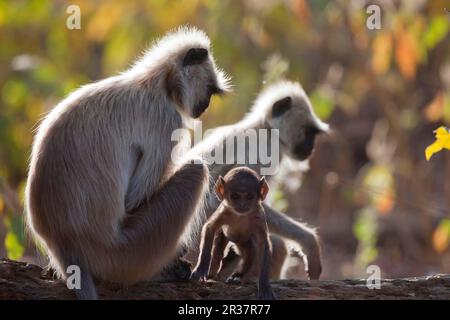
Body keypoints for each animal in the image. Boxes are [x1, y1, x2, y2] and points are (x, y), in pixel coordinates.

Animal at [24, 27, 230, 300]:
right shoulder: (167, 120)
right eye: (209, 90)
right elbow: (132, 201)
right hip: (126, 252)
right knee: (196, 171)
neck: (156, 83)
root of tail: (65, 244)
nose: (204, 106)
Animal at [185, 80, 328, 280]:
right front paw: (309, 241)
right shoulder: (268, 150)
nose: (311, 147)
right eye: (309, 132)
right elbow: (218, 199)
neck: (265, 128)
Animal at [190, 166, 274, 298]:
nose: (242, 205)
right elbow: (210, 228)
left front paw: (265, 285)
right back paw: (213, 271)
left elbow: (263, 244)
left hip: (244, 242)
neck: (240, 216)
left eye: (249, 196)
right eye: (235, 196)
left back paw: (238, 276)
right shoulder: (224, 211)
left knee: (250, 252)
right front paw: (201, 269)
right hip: (224, 237)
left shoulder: (259, 216)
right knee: (218, 252)